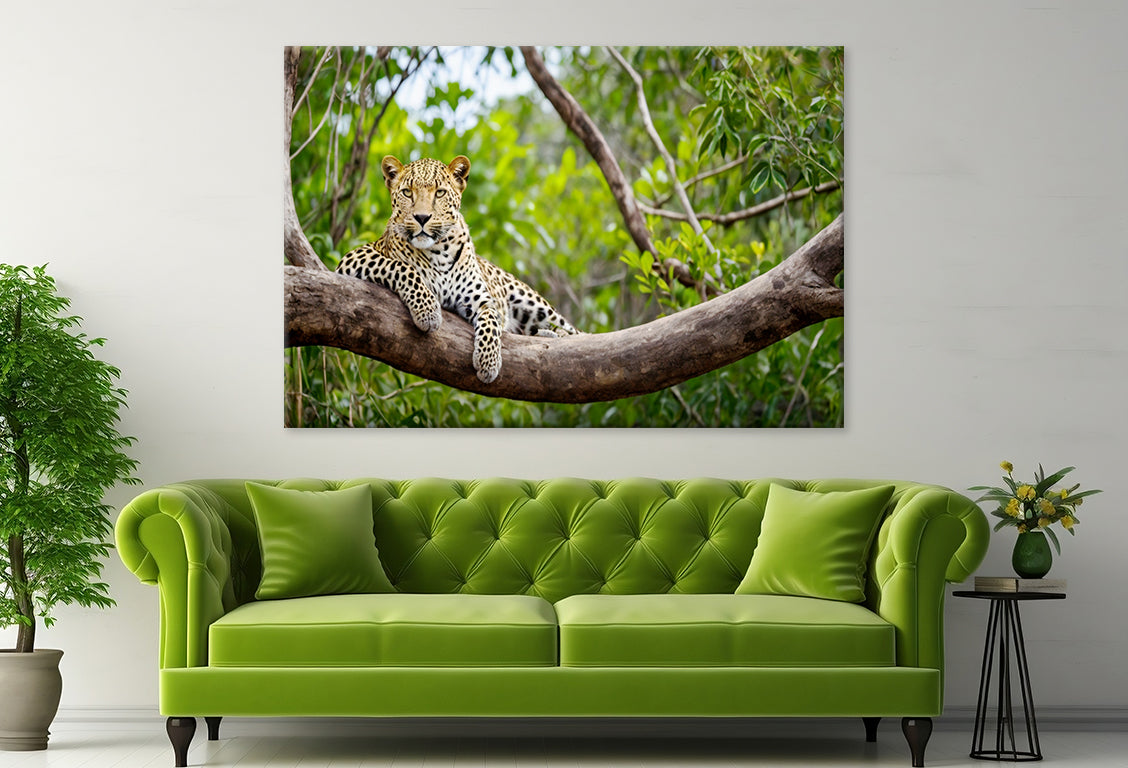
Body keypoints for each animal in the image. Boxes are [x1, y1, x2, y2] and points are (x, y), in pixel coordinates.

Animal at [335, 154, 578, 384]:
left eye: (440, 193)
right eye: (407, 192)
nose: (421, 217)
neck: (439, 251)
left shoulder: (481, 299)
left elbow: (491, 320)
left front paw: (488, 362)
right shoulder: (354, 257)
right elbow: (401, 267)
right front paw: (428, 311)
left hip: (534, 303)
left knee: (573, 331)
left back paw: (556, 336)